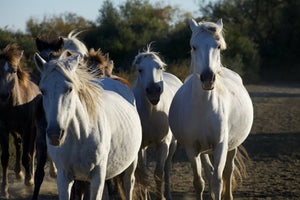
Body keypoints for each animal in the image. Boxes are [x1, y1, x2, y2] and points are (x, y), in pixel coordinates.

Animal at [0, 44, 44, 198]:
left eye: (13, 71)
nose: (3, 95)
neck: (15, 105)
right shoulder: (4, 129)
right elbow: (5, 158)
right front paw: (5, 190)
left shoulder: (27, 128)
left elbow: (27, 156)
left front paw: (29, 181)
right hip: (15, 130)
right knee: (19, 144)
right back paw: (19, 174)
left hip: (35, 130)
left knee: (32, 150)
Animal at [33, 53, 142, 200]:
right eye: (43, 90)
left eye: (70, 89)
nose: (55, 135)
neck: (80, 136)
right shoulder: (64, 176)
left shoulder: (98, 176)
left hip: (131, 162)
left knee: (128, 184)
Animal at [132, 48, 183, 200]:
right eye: (140, 70)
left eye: (159, 67)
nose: (154, 91)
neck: (151, 112)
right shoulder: (140, 146)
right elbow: (144, 175)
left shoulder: (163, 144)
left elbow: (158, 174)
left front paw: (161, 196)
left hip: (172, 145)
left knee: (167, 168)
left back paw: (168, 194)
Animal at [169, 19, 253, 200]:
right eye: (194, 47)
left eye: (218, 46)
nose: (208, 78)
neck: (204, 108)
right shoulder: (192, 148)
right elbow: (199, 182)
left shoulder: (221, 145)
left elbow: (218, 180)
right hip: (205, 151)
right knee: (209, 172)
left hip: (231, 146)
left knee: (228, 171)